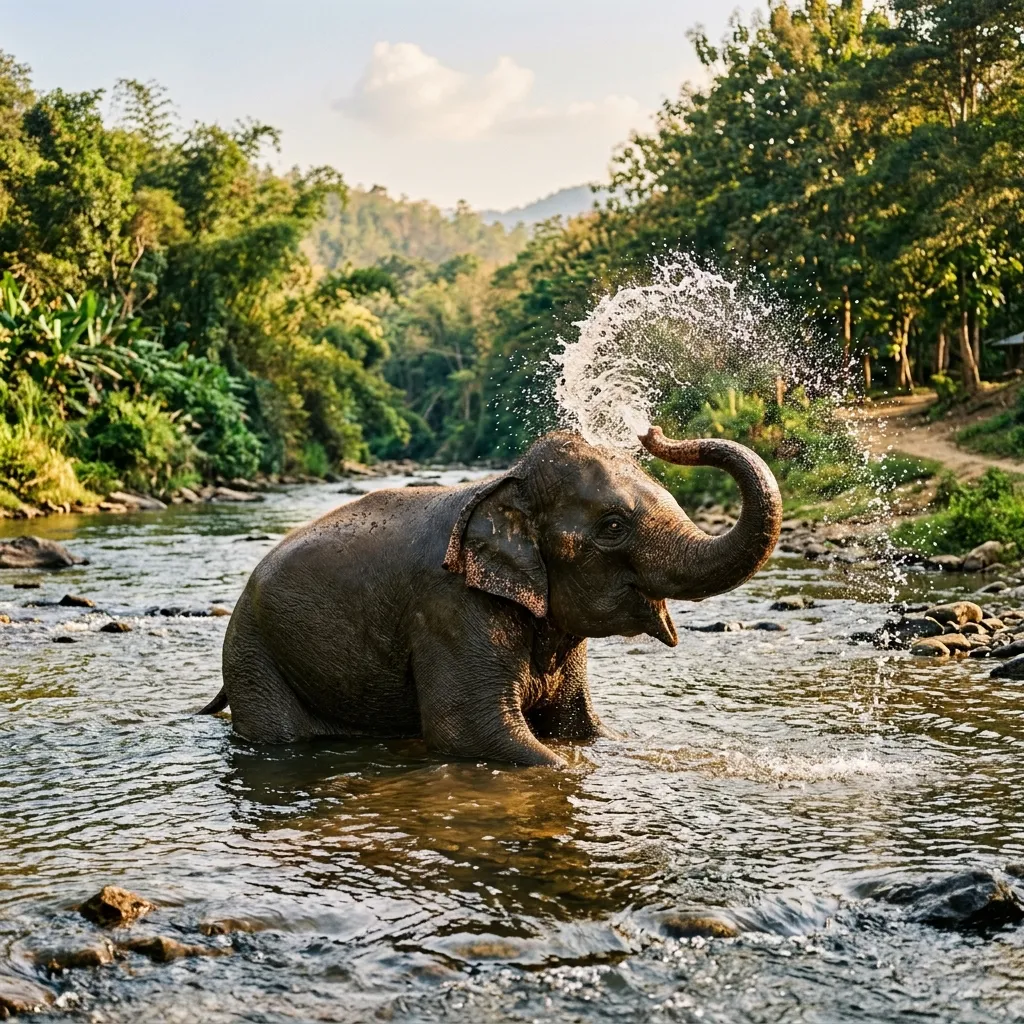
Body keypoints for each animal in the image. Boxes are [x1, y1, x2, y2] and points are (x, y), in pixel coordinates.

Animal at [201, 427, 782, 766]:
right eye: (613, 526)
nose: (652, 429)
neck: (504, 485)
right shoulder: (451, 609)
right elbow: (470, 733)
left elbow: (579, 727)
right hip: (253, 654)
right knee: (280, 735)